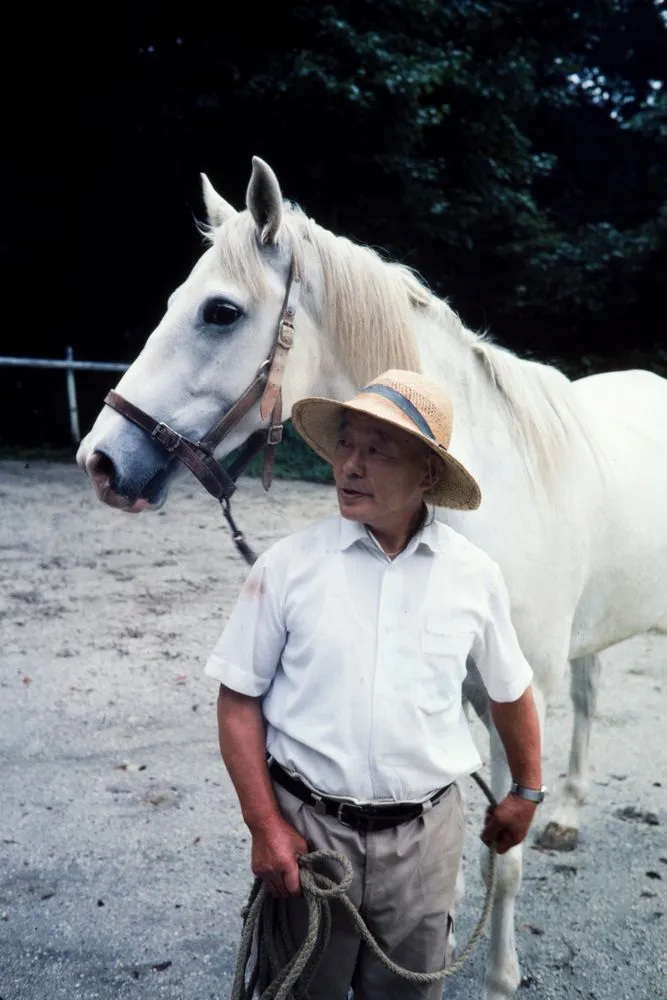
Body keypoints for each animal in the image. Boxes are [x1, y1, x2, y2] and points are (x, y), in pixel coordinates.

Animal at [75, 156, 667, 999]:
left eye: (220, 312)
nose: (100, 461)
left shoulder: (512, 696)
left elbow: (503, 856)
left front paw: (500, 975)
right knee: (590, 699)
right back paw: (569, 816)